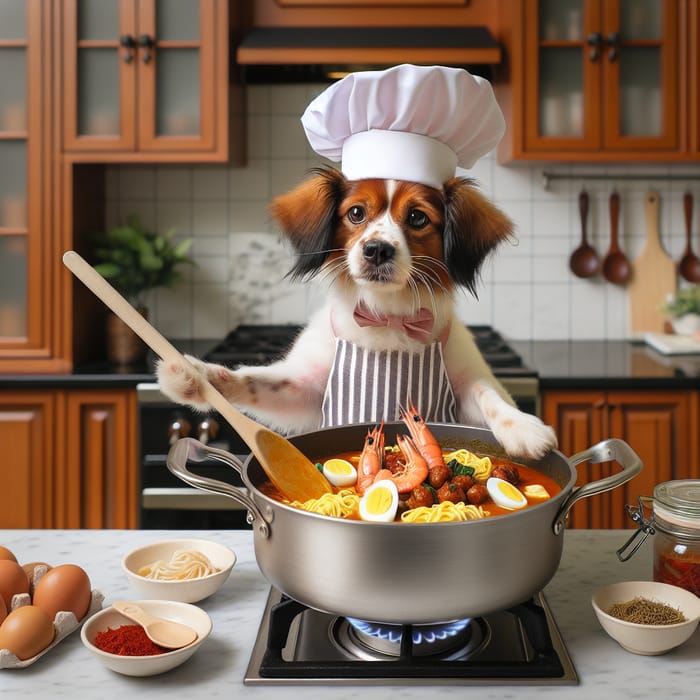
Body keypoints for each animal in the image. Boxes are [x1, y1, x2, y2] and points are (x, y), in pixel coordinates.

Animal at [159, 167, 556, 462]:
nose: (377, 249)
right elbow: (252, 381)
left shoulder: (464, 384)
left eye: (417, 217)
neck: (387, 316)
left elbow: (487, 393)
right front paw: (196, 375)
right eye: (356, 213)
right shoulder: (304, 389)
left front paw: (523, 428)